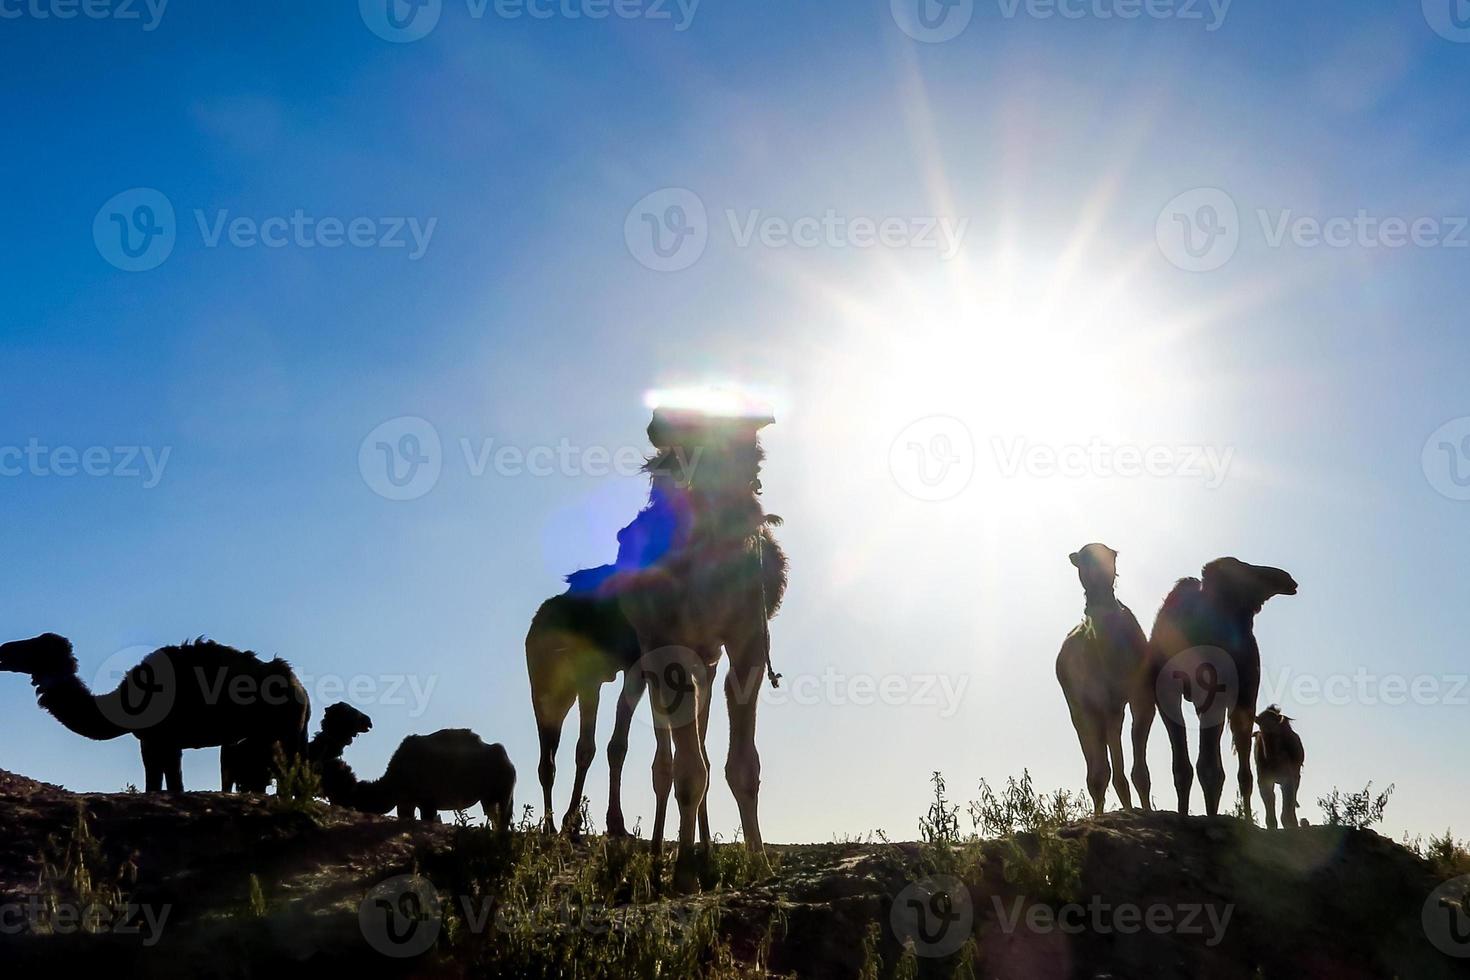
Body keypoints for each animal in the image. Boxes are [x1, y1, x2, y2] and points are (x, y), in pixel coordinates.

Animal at [0, 631, 310, 793]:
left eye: (35, 646)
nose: (4, 649)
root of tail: (300, 688)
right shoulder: (151, 742)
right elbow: (157, 784)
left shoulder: (165, 740)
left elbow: (172, 786)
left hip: (282, 733)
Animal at [1058, 543, 1158, 811]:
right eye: (1081, 560)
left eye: (1111, 557)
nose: (1100, 591)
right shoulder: (1090, 704)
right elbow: (1100, 775)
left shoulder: (1141, 697)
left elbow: (1140, 773)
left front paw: (1144, 812)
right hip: (1078, 710)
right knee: (1099, 770)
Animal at [1146, 558, 1299, 822]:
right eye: (1246, 571)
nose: (1287, 579)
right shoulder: (1166, 693)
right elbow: (1183, 767)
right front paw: (1183, 815)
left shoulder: (1217, 693)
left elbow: (1209, 767)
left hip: (1244, 699)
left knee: (1244, 770)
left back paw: (1247, 819)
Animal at [1246, 702, 1305, 834]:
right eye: (1261, 725)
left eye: (1275, 725)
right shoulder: (1263, 779)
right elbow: (1269, 799)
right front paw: (1271, 824)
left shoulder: (1288, 777)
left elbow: (1287, 798)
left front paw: (1290, 823)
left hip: (1296, 775)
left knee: (1292, 796)